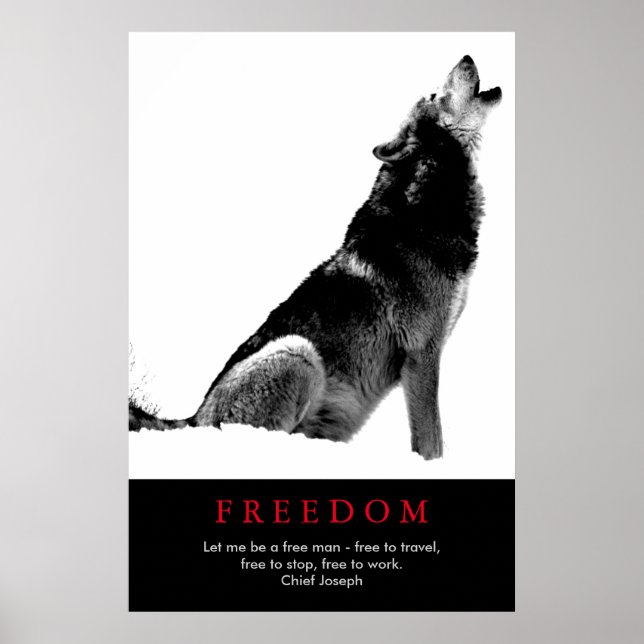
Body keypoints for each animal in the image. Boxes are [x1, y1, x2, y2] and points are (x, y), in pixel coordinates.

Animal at [129, 55, 502, 460]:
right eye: (435, 94)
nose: (466, 57)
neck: (427, 208)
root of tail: (193, 418)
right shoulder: (422, 353)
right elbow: (431, 441)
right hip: (298, 353)